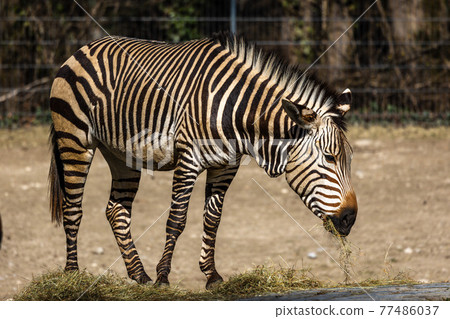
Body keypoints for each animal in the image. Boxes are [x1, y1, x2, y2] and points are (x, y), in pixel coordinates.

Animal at [48, 33, 358, 290]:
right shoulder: (189, 159)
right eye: (329, 157)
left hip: (120, 154)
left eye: (350, 160)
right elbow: (176, 220)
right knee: (73, 208)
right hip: (74, 139)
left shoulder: (226, 166)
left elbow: (212, 220)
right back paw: (73, 275)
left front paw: (211, 276)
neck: (238, 114)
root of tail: (85, 47)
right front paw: (163, 277)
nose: (350, 219)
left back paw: (139, 275)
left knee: (117, 210)